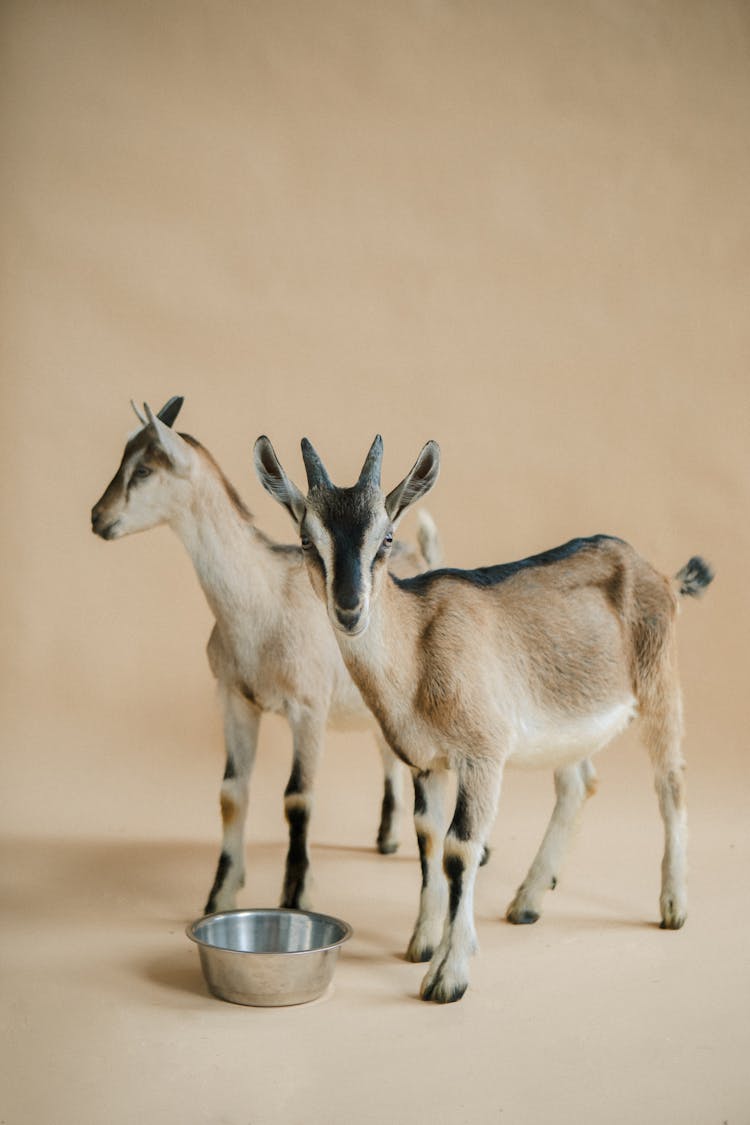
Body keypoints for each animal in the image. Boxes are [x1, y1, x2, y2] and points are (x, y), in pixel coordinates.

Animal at [89, 400, 440, 918]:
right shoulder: (235, 699)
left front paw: (295, 896)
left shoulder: (308, 709)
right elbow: (232, 792)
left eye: (146, 469)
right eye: (124, 458)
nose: (99, 517)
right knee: (388, 754)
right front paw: (219, 894)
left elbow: (298, 796)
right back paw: (387, 840)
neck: (262, 602)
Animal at [254, 429, 715, 1003]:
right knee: (579, 784)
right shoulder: (425, 762)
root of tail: (662, 576)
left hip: (659, 686)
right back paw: (528, 900)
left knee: (670, 782)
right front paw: (423, 943)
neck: (417, 648)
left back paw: (673, 906)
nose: (350, 607)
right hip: (568, 723)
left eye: (386, 538)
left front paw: (447, 976)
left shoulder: (482, 755)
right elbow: (428, 839)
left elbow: (459, 849)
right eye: (305, 539)